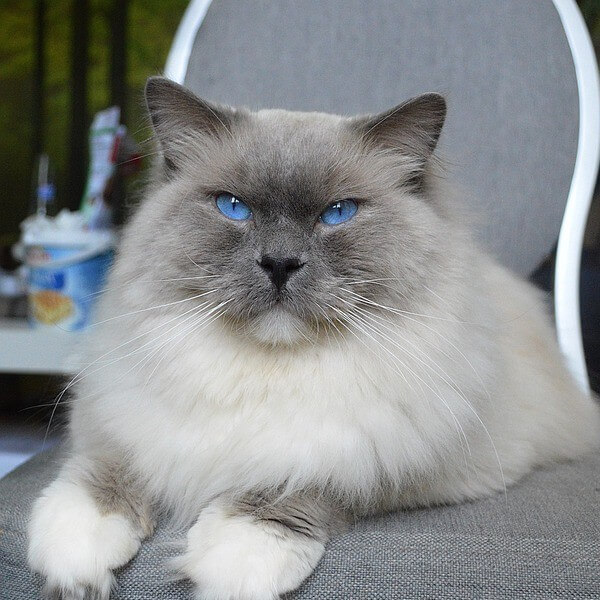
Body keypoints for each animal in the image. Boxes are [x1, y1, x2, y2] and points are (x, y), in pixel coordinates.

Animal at [27, 78, 600, 600]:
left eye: (337, 213)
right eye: (233, 207)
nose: (280, 263)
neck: (267, 371)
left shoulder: (392, 460)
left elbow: (295, 487)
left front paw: (234, 562)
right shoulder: (124, 422)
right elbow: (100, 478)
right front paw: (75, 561)